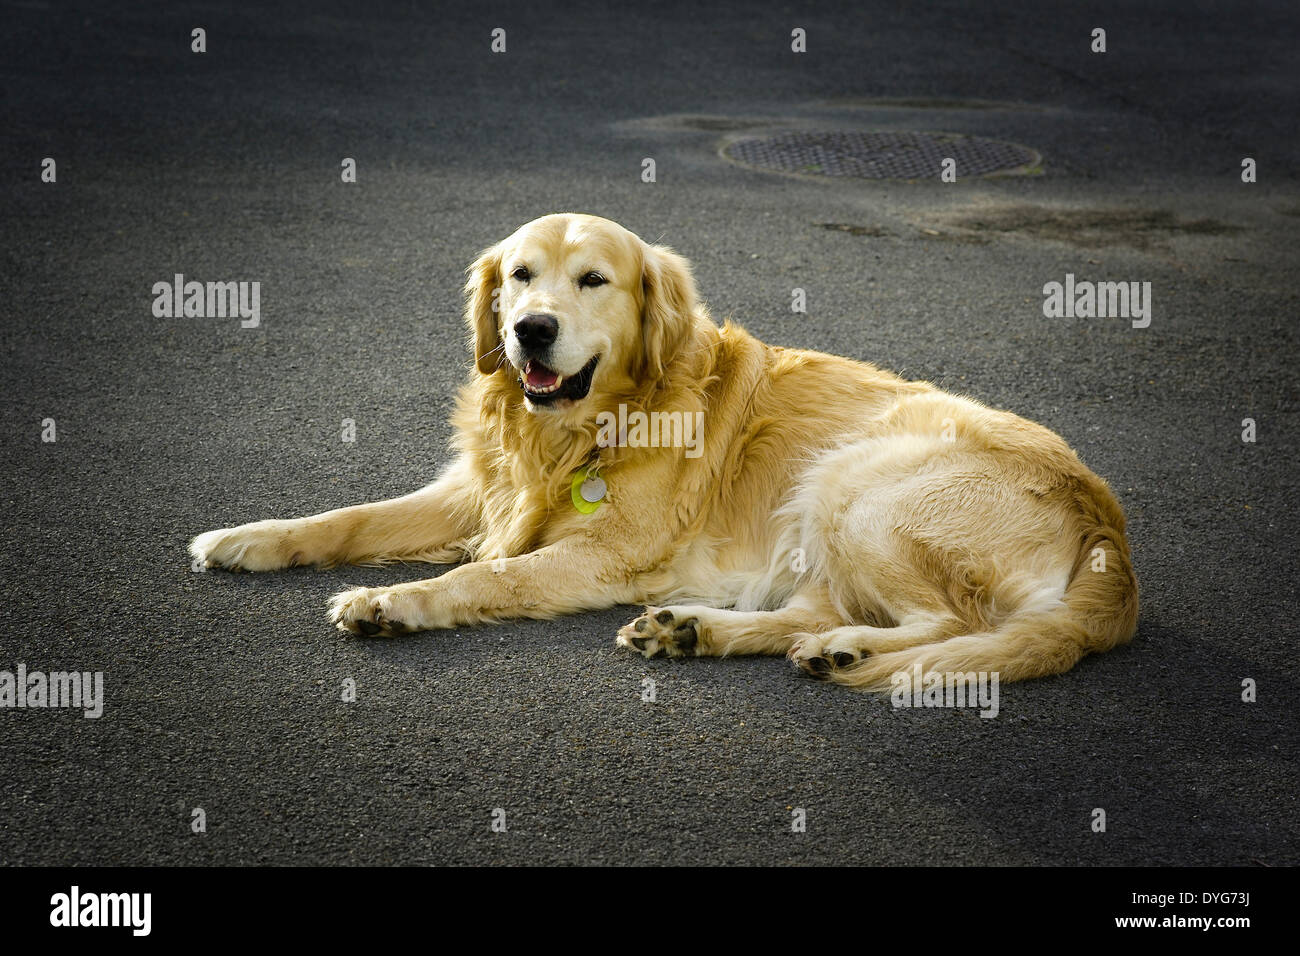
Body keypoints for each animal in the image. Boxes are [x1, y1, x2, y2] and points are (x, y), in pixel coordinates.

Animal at [192, 210, 1138, 686]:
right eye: (520, 276)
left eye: (593, 281)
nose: (531, 331)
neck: (581, 430)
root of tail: (1107, 527)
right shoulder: (476, 491)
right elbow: (349, 516)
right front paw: (248, 538)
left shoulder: (602, 553)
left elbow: (484, 577)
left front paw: (393, 603)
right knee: (811, 612)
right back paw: (699, 632)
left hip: (856, 483)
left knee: (946, 621)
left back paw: (848, 653)